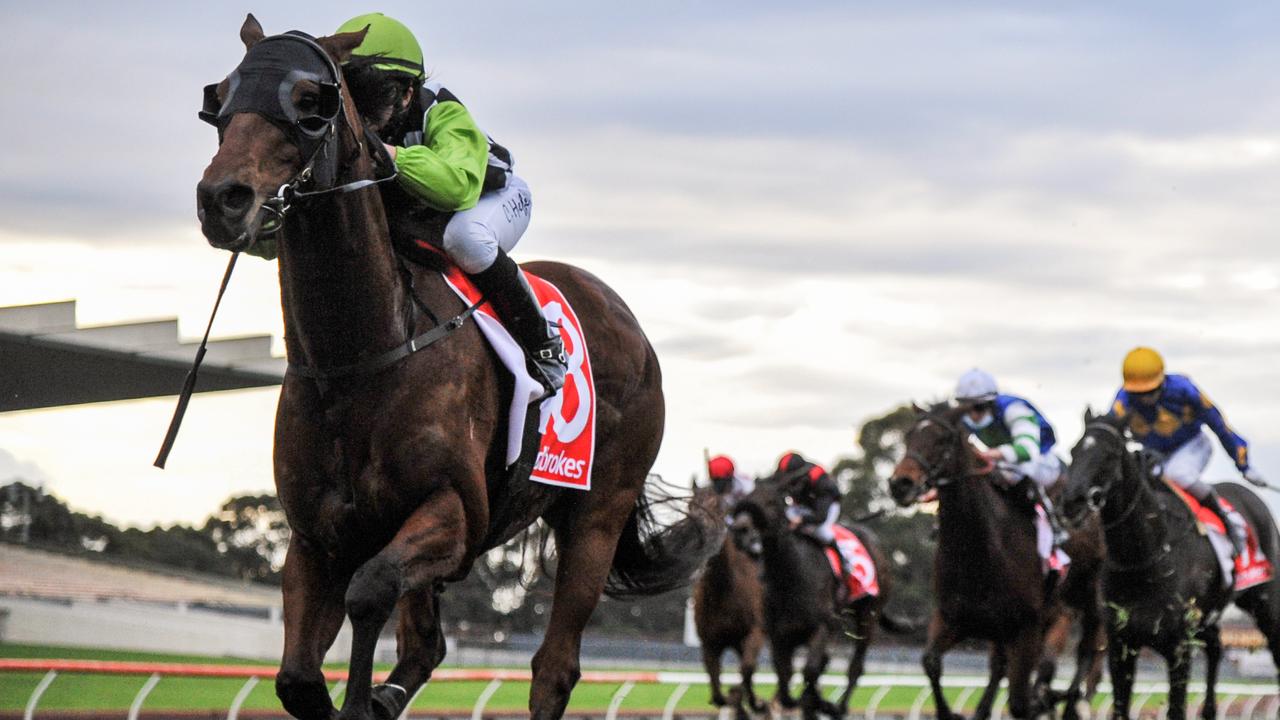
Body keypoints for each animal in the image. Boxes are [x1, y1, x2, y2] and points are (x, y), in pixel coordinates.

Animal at [195, 18, 727, 717]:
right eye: (221, 97)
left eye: (311, 102)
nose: (221, 199)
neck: (360, 358)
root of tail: (629, 323)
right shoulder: (316, 538)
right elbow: (299, 679)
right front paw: (366, 697)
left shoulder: (454, 512)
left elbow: (371, 590)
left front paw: (364, 698)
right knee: (427, 645)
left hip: (597, 515)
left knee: (554, 667)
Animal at [732, 474, 901, 712]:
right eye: (746, 497)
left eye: (771, 501)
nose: (740, 529)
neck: (791, 576)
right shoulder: (779, 633)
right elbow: (785, 677)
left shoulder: (822, 626)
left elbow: (810, 670)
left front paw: (817, 702)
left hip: (868, 615)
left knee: (856, 666)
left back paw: (839, 707)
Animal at [885, 399, 1105, 717]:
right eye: (908, 436)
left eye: (943, 439)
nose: (900, 483)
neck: (980, 552)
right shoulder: (954, 618)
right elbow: (931, 662)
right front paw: (953, 712)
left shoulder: (1026, 627)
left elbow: (1020, 702)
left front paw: (1043, 699)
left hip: (1085, 594)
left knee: (1088, 646)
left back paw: (1069, 697)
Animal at [1059, 409, 1280, 717]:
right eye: (1074, 451)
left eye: (1111, 454)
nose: (1072, 503)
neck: (1144, 556)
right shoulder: (1121, 644)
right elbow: (1119, 707)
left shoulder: (1178, 646)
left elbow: (1176, 708)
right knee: (1215, 645)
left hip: (1264, 602)